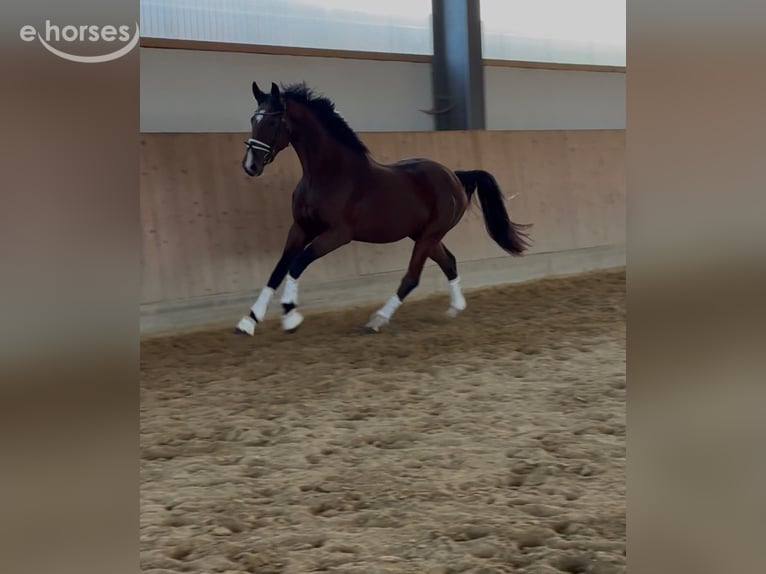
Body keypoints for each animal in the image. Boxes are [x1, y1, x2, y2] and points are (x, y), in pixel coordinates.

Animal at [235, 81, 531, 335]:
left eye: (272, 121)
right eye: (252, 119)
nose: (250, 165)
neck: (328, 175)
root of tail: (455, 177)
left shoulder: (337, 235)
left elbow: (297, 264)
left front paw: (290, 315)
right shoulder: (300, 228)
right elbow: (278, 269)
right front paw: (249, 321)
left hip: (429, 235)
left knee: (412, 277)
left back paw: (377, 319)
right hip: (423, 235)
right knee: (449, 261)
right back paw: (454, 308)